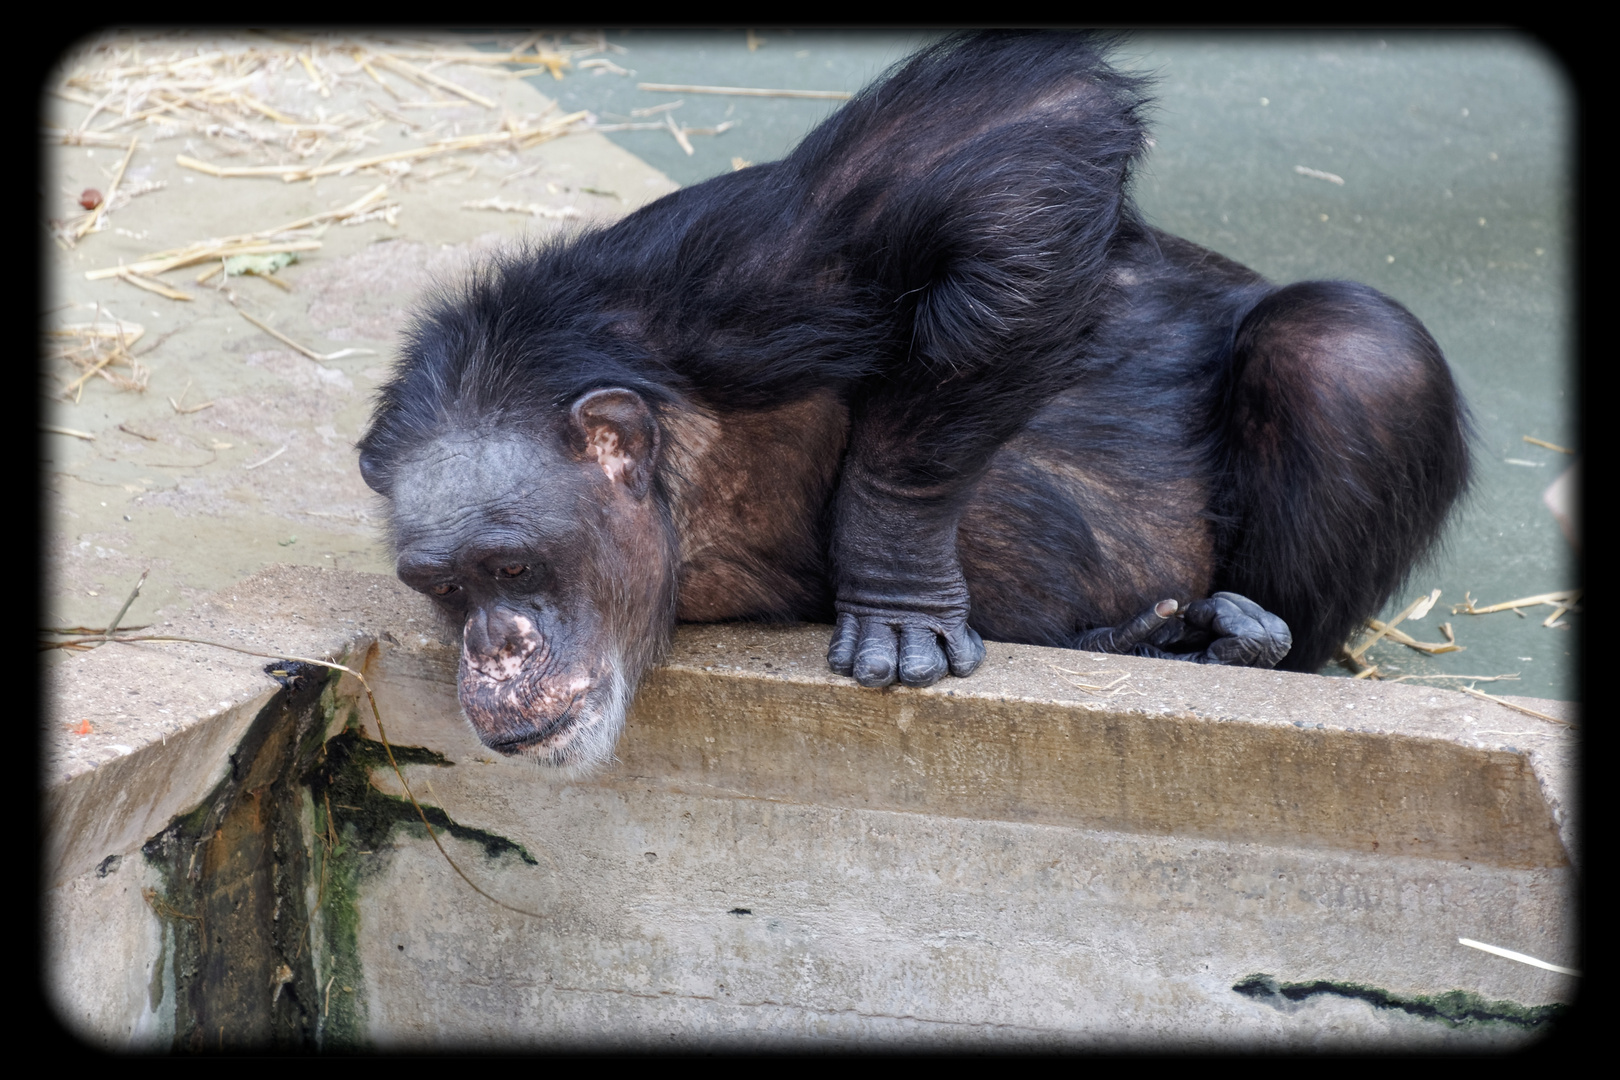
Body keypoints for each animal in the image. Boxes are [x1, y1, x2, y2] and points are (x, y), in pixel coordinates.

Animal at [361, 31, 1477, 767]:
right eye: (443, 584)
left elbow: (1015, 131)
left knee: (1349, 350)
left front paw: (896, 586)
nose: (494, 646)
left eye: (512, 564)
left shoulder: (740, 282)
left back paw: (1223, 649)